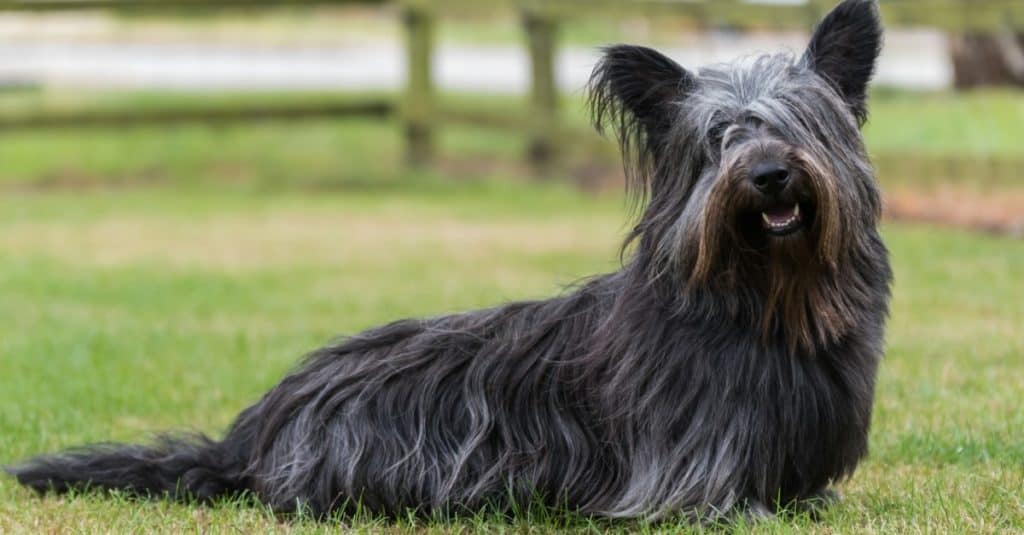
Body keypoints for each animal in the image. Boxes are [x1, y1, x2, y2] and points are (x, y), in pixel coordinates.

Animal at [8, 0, 888, 520]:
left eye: (801, 122)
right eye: (718, 140)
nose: (768, 174)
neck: (762, 301)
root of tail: (249, 437)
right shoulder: (681, 474)